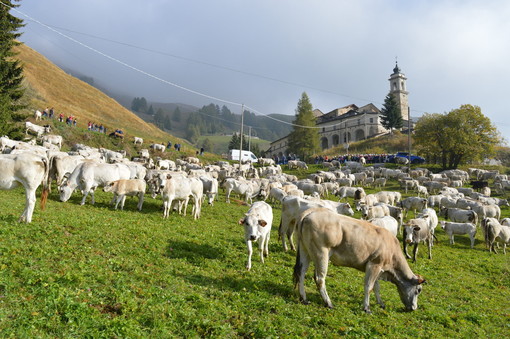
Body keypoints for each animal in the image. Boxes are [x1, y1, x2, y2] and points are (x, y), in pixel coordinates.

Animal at [292, 209, 424, 314]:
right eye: (418, 290)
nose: (414, 308)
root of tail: (310, 212)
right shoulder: (374, 264)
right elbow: (369, 286)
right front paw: (367, 308)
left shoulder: (378, 268)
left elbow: (376, 287)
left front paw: (381, 303)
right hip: (321, 253)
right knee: (319, 278)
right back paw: (328, 303)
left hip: (305, 250)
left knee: (301, 273)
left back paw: (304, 299)